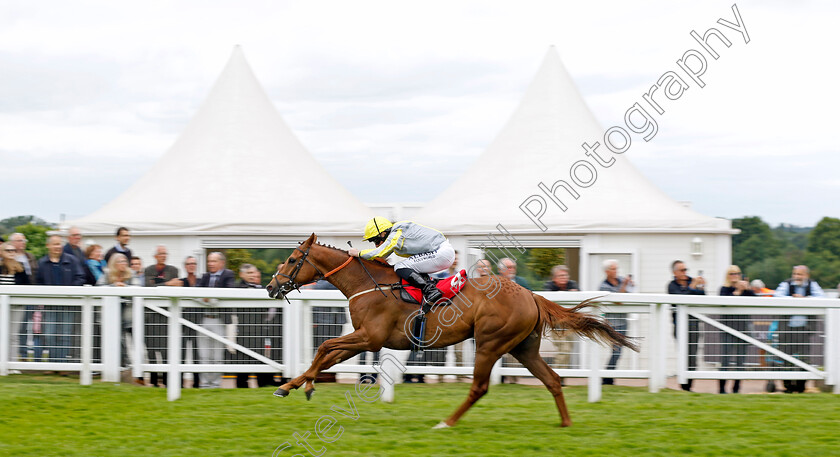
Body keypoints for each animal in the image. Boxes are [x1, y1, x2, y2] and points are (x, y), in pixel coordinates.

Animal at [268, 235, 636, 428]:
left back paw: (446, 422)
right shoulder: (363, 339)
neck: (369, 285)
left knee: (479, 387)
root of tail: (530, 294)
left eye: (292, 259)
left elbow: (325, 346)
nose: (271, 287)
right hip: (524, 348)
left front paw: (296, 385)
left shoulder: (370, 337)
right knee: (553, 380)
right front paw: (295, 385)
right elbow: (326, 354)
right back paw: (566, 423)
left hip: (490, 344)